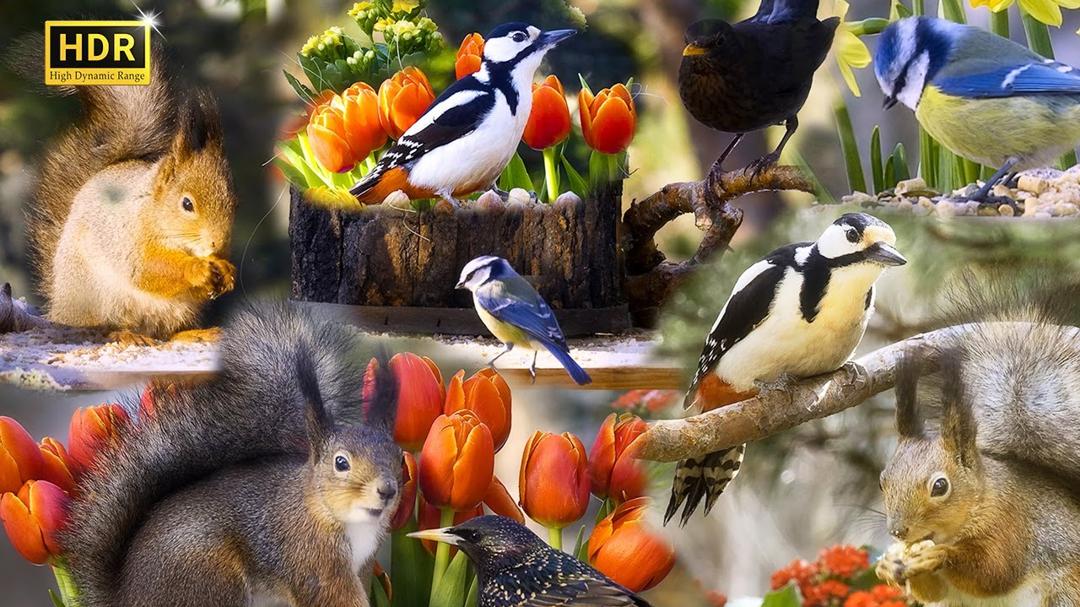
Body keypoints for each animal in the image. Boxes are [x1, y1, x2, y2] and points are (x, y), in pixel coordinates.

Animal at [27, 41, 237, 344]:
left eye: (234, 202)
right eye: (187, 204)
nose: (217, 243)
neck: (151, 207)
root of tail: (60, 307)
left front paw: (226, 270)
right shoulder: (127, 238)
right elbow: (146, 270)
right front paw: (197, 268)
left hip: (179, 310)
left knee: (169, 332)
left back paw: (195, 333)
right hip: (97, 296)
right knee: (102, 327)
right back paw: (125, 334)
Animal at [59, 304, 404, 607]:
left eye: (399, 457)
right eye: (341, 462)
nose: (387, 490)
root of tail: (125, 597)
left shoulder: (362, 563)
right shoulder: (312, 559)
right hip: (211, 577)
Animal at [876, 349, 1080, 604]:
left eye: (940, 486)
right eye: (882, 482)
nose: (897, 531)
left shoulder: (1010, 522)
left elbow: (995, 571)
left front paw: (940, 554)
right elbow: (933, 592)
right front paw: (888, 565)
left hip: (1066, 591)